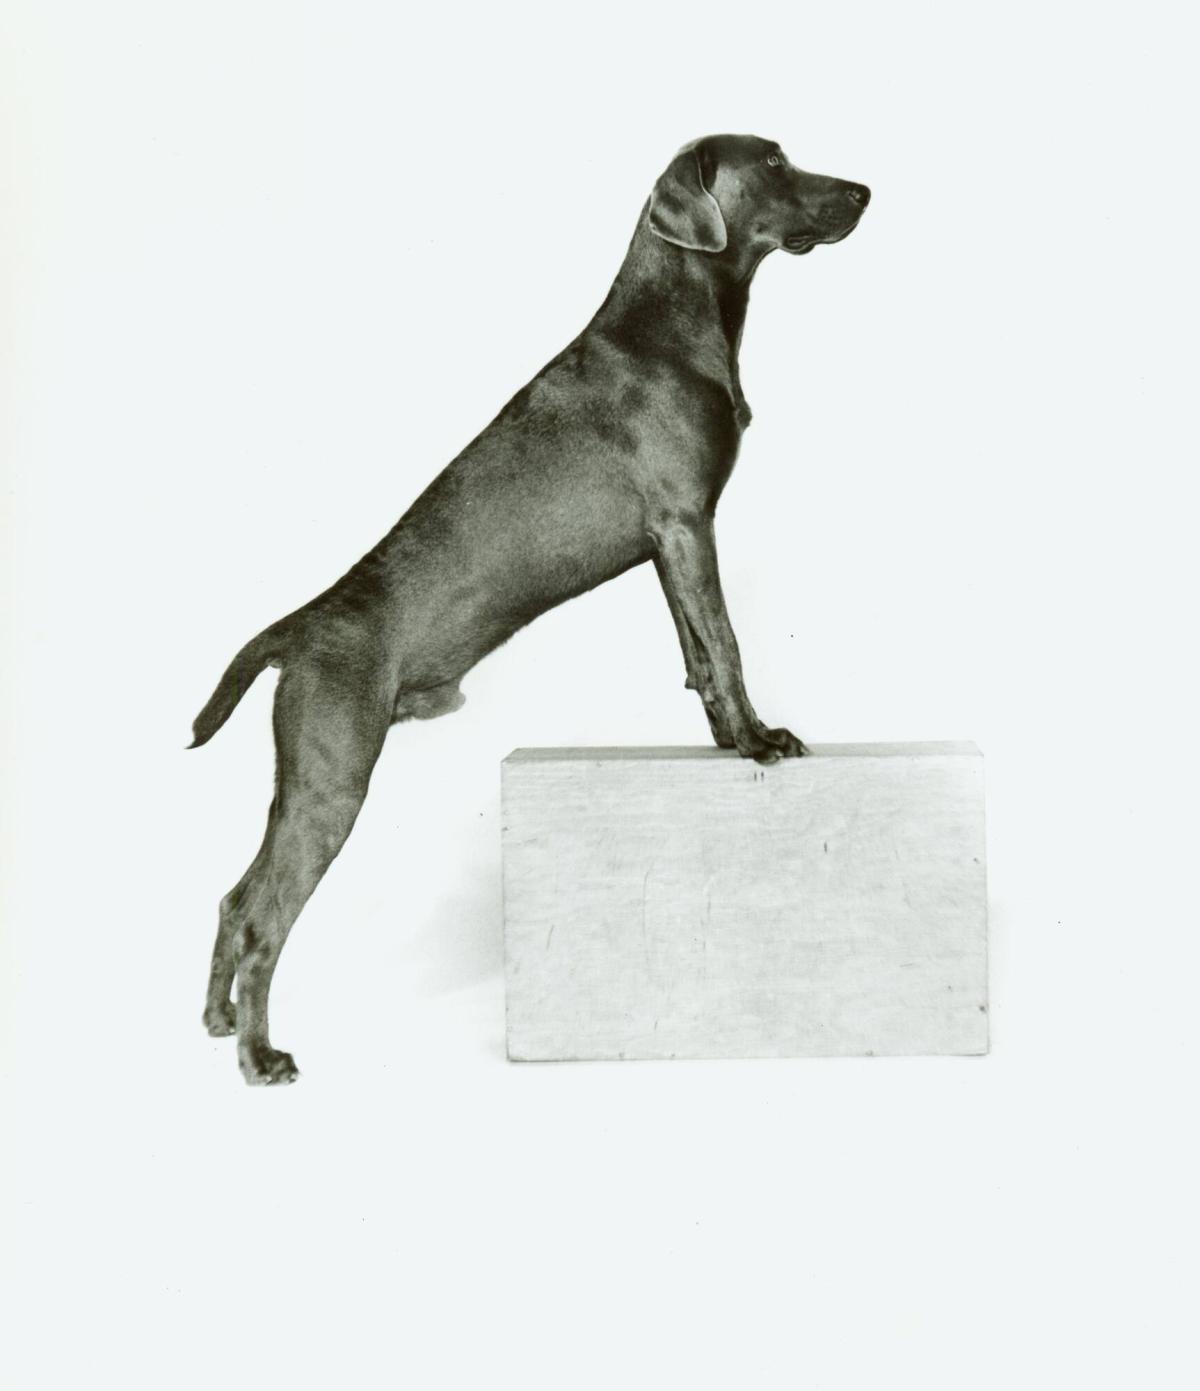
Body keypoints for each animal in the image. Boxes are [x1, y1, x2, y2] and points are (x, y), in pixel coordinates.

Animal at [191, 133, 870, 1084]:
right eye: (772, 162)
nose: (864, 191)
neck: (668, 322)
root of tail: (301, 624)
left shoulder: (668, 544)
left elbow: (698, 654)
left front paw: (726, 739)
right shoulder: (686, 521)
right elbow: (728, 645)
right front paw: (763, 739)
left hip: (301, 785)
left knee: (234, 896)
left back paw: (219, 1020)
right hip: (333, 775)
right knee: (265, 918)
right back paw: (261, 1055)